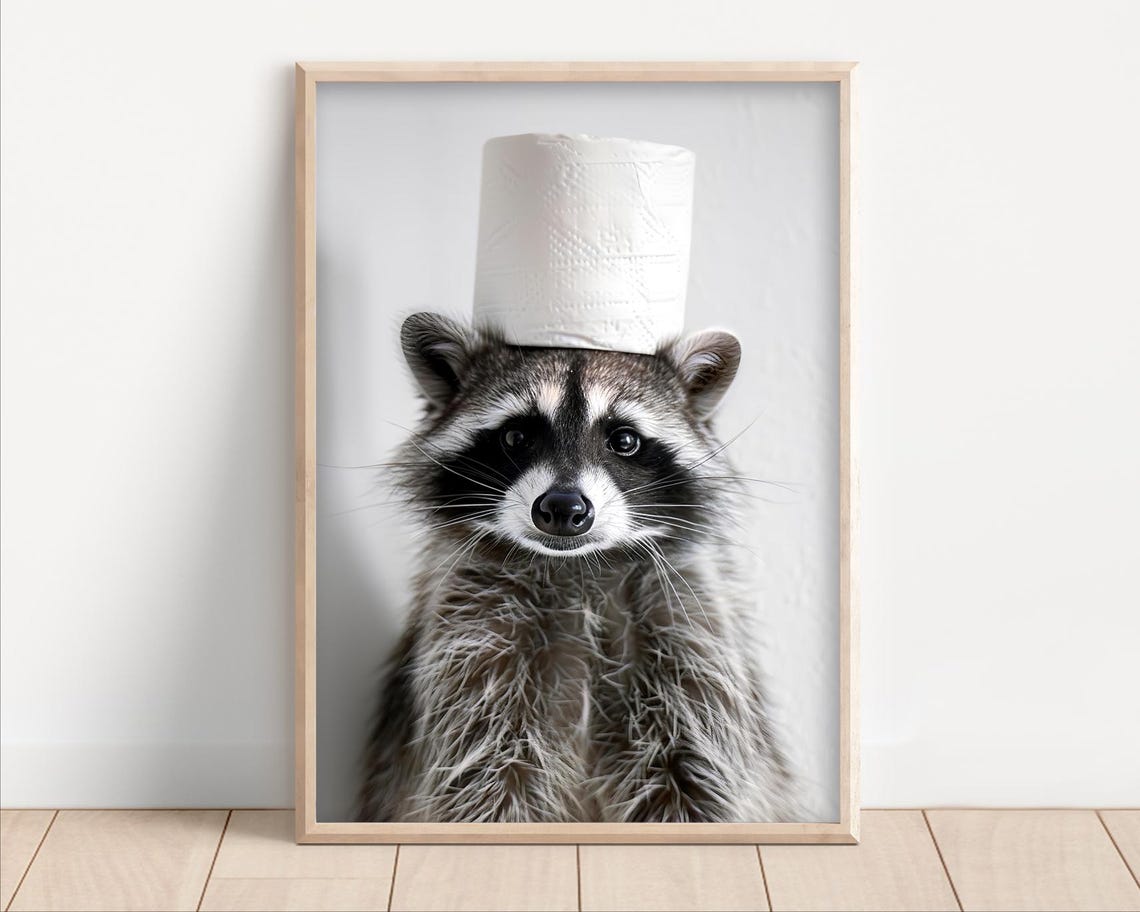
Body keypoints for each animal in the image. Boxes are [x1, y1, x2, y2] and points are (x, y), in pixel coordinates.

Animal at [357, 311, 799, 823]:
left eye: (624, 440)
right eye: (516, 436)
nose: (563, 508)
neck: (578, 565)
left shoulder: (693, 634)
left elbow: (700, 781)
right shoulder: (471, 638)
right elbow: (484, 779)